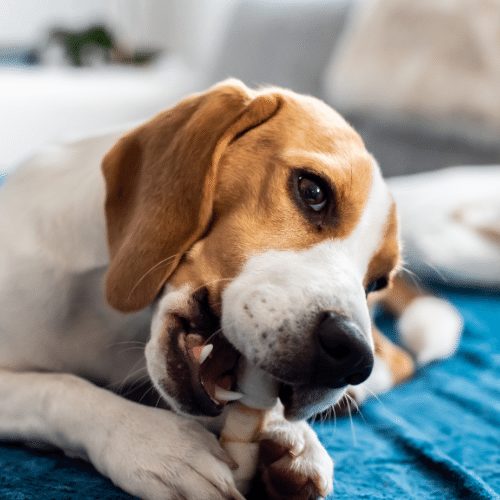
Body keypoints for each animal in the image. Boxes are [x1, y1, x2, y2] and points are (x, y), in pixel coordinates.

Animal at [0, 80, 460, 498]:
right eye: (312, 191)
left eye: (376, 281)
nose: (350, 355)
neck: (109, 318)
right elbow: (61, 388)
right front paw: (156, 444)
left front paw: (288, 434)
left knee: (399, 359)